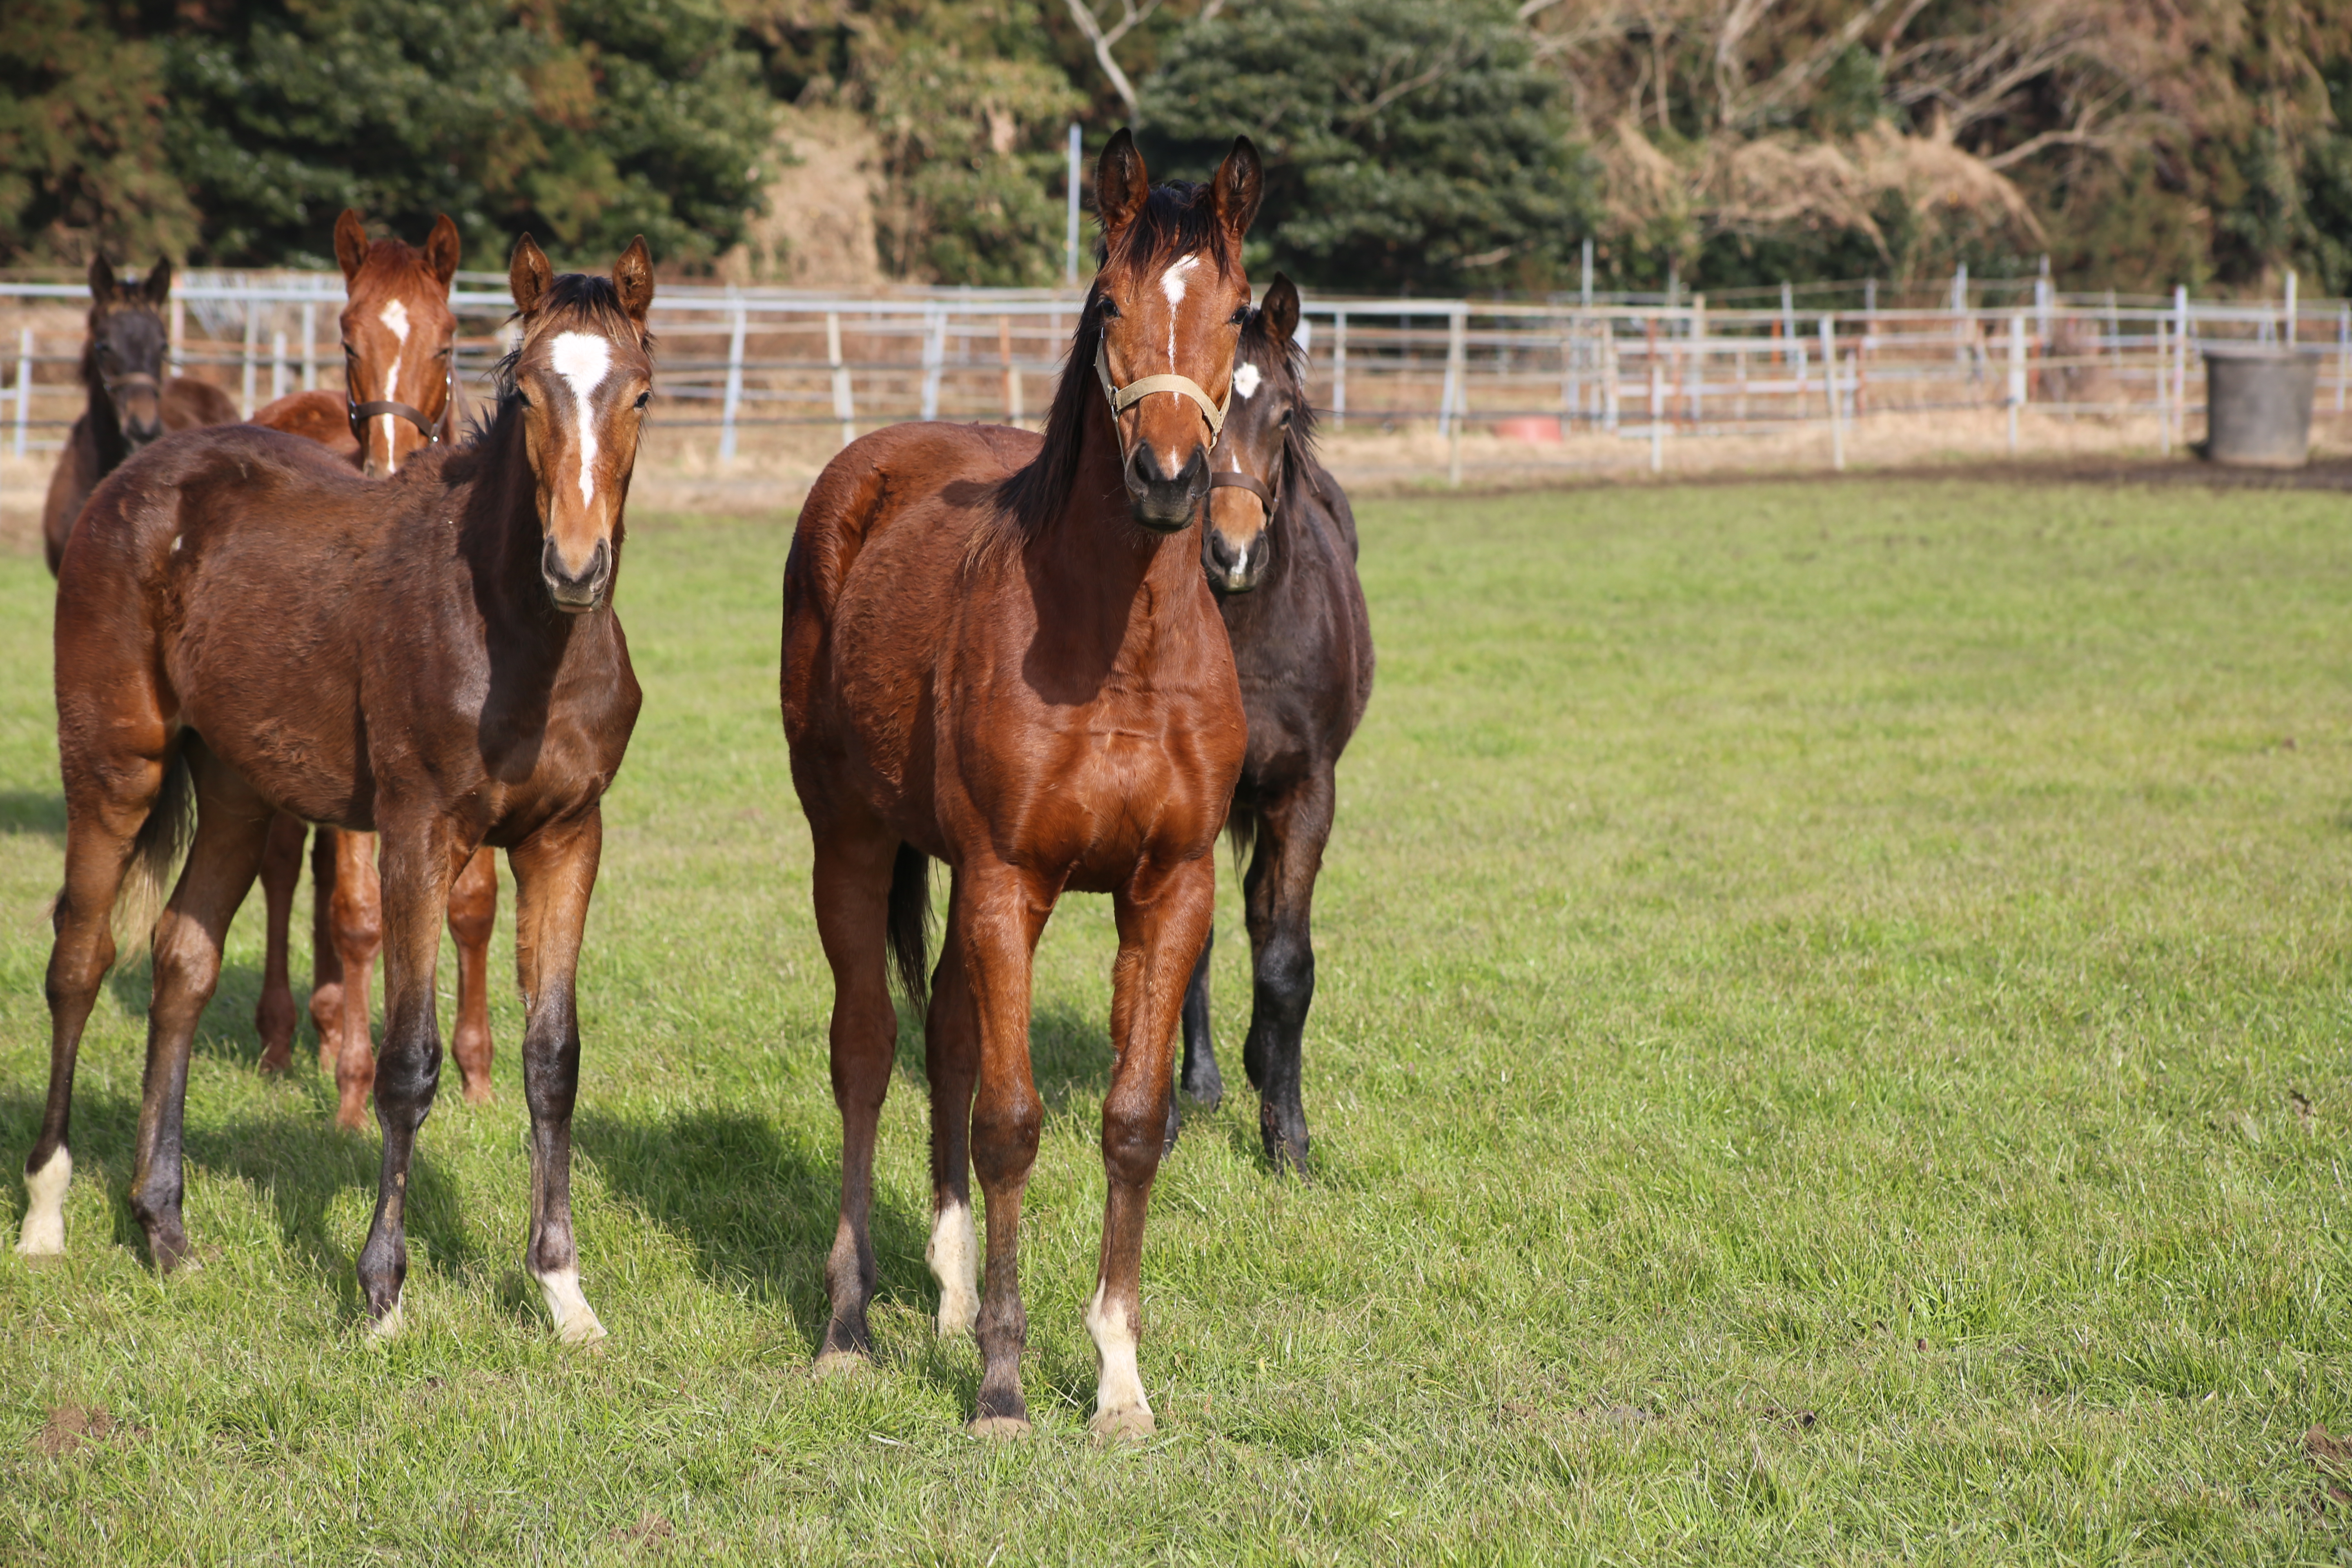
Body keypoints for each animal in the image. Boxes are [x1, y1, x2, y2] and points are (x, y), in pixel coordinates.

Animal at [245, 212, 503, 1128]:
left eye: (448, 339)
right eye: (348, 336)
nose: (393, 467)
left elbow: (469, 907)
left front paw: (478, 1078)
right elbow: (362, 916)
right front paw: (358, 1095)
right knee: (287, 870)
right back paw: (288, 1039)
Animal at [785, 131, 1270, 1439]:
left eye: (1234, 311)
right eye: (1108, 303)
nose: (1168, 476)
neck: (1117, 650)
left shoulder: (1169, 892)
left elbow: (1131, 1123)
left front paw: (1117, 1381)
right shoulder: (1012, 880)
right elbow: (1010, 1123)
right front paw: (1002, 1385)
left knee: (949, 1032)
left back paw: (947, 1294)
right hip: (850, 841)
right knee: (868, 1049)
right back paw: (849, 1324)